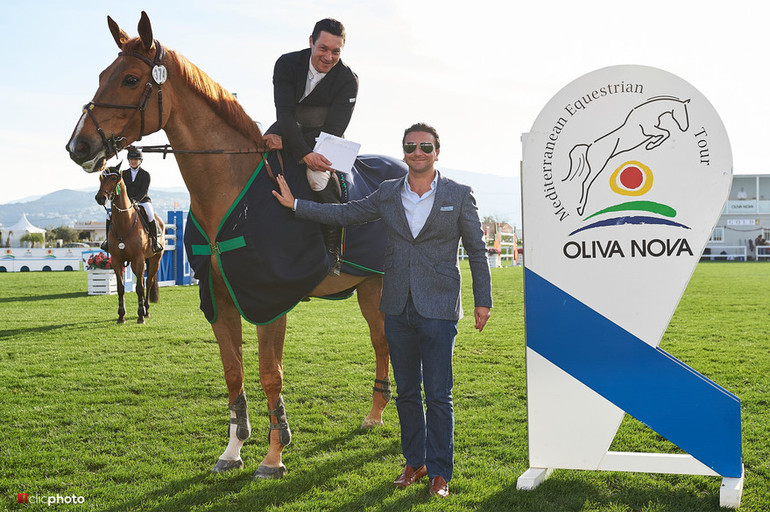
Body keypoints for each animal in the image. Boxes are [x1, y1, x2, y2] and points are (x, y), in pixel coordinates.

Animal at [94, 164, 164, 324]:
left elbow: (139, 287)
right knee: (144, 282)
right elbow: (121, 288)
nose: (100, 198)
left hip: (154, 259)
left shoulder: (138, 259)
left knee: (148, 283)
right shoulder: (116, 260)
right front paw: (121, 316)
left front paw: (140, 316)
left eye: (114, 178)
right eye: (101, 178)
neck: (124, 222)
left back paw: (146, 311)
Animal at [560, 95, 688, 215]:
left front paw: (650, 144)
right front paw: (651, 145)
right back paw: (580, 208)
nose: (685, 128)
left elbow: (664, 134)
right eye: (683, 112)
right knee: (586, 183)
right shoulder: (648, 130)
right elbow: (666, 133)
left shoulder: (651, 132)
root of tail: (589, 146)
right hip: (598, 166)